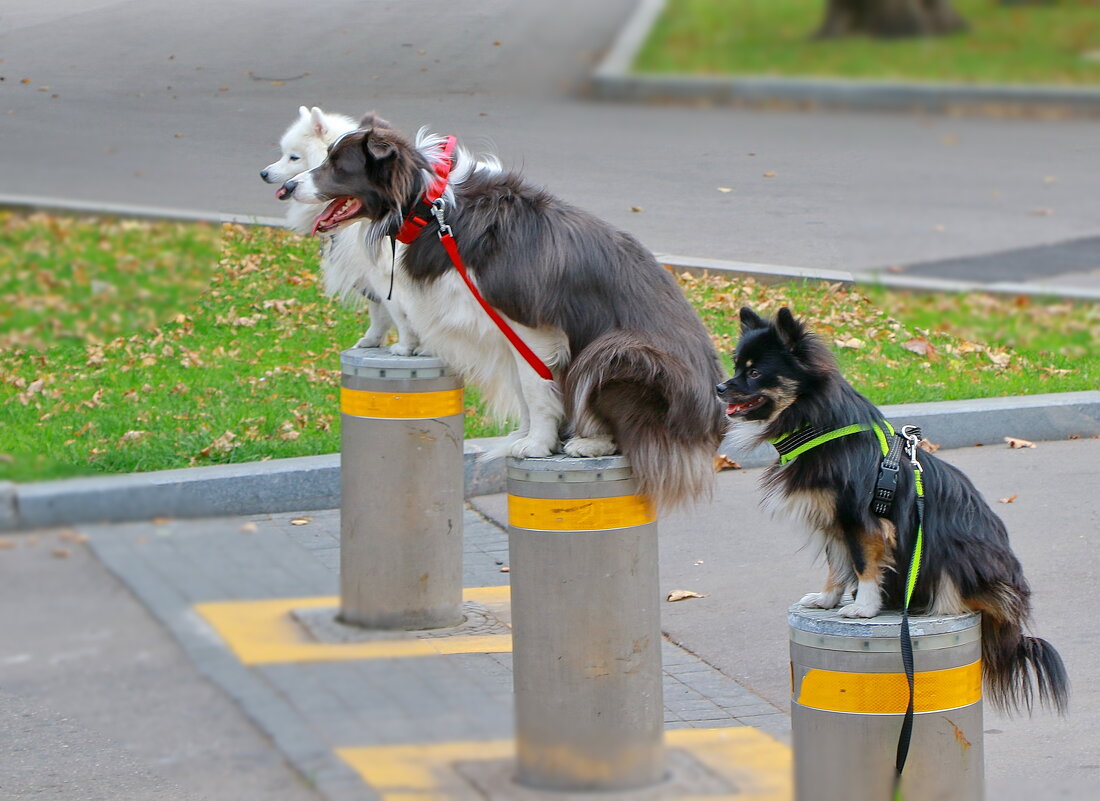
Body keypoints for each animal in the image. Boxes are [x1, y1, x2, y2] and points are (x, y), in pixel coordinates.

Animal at [259, 105, 422, 354]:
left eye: (293, 157)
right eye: (283, 154)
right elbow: (379, 312)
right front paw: (372, 340)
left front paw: (407, 346)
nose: (264, 173)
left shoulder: (382, 273)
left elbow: (399, 314)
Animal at [717, 305, 1069, 712]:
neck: (814, 420)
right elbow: (838, 566)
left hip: (954, 551)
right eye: (737, 365)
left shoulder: (861, 519)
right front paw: (827, 599)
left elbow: (864, 565)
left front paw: (864, 607)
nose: (720, 387)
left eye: (755, 373)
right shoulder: (834, 522)